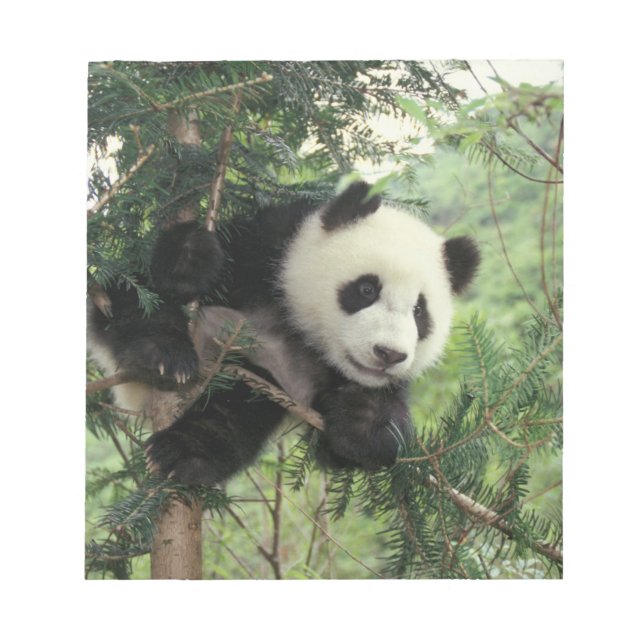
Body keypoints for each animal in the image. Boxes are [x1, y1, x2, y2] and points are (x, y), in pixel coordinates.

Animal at [88, 181, 480, 485]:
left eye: (419, 312)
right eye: (367, 290)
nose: (389, 354)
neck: (298, 327)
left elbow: (354, 445)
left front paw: (363, 419)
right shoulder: (268, 249)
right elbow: (157, 280)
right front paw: (190, 261)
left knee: (240, 404)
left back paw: (185, 453)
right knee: (132, 297)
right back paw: (163, 360)